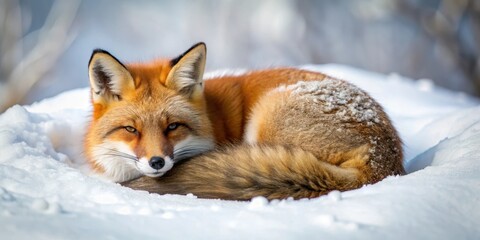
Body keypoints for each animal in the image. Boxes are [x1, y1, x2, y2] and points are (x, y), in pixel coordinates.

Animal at [83, 42, 404, 200]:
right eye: (131, 129)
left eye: (172, 126)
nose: (157, 162)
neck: (214, 118)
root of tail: (381, 163)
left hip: (266, 118)